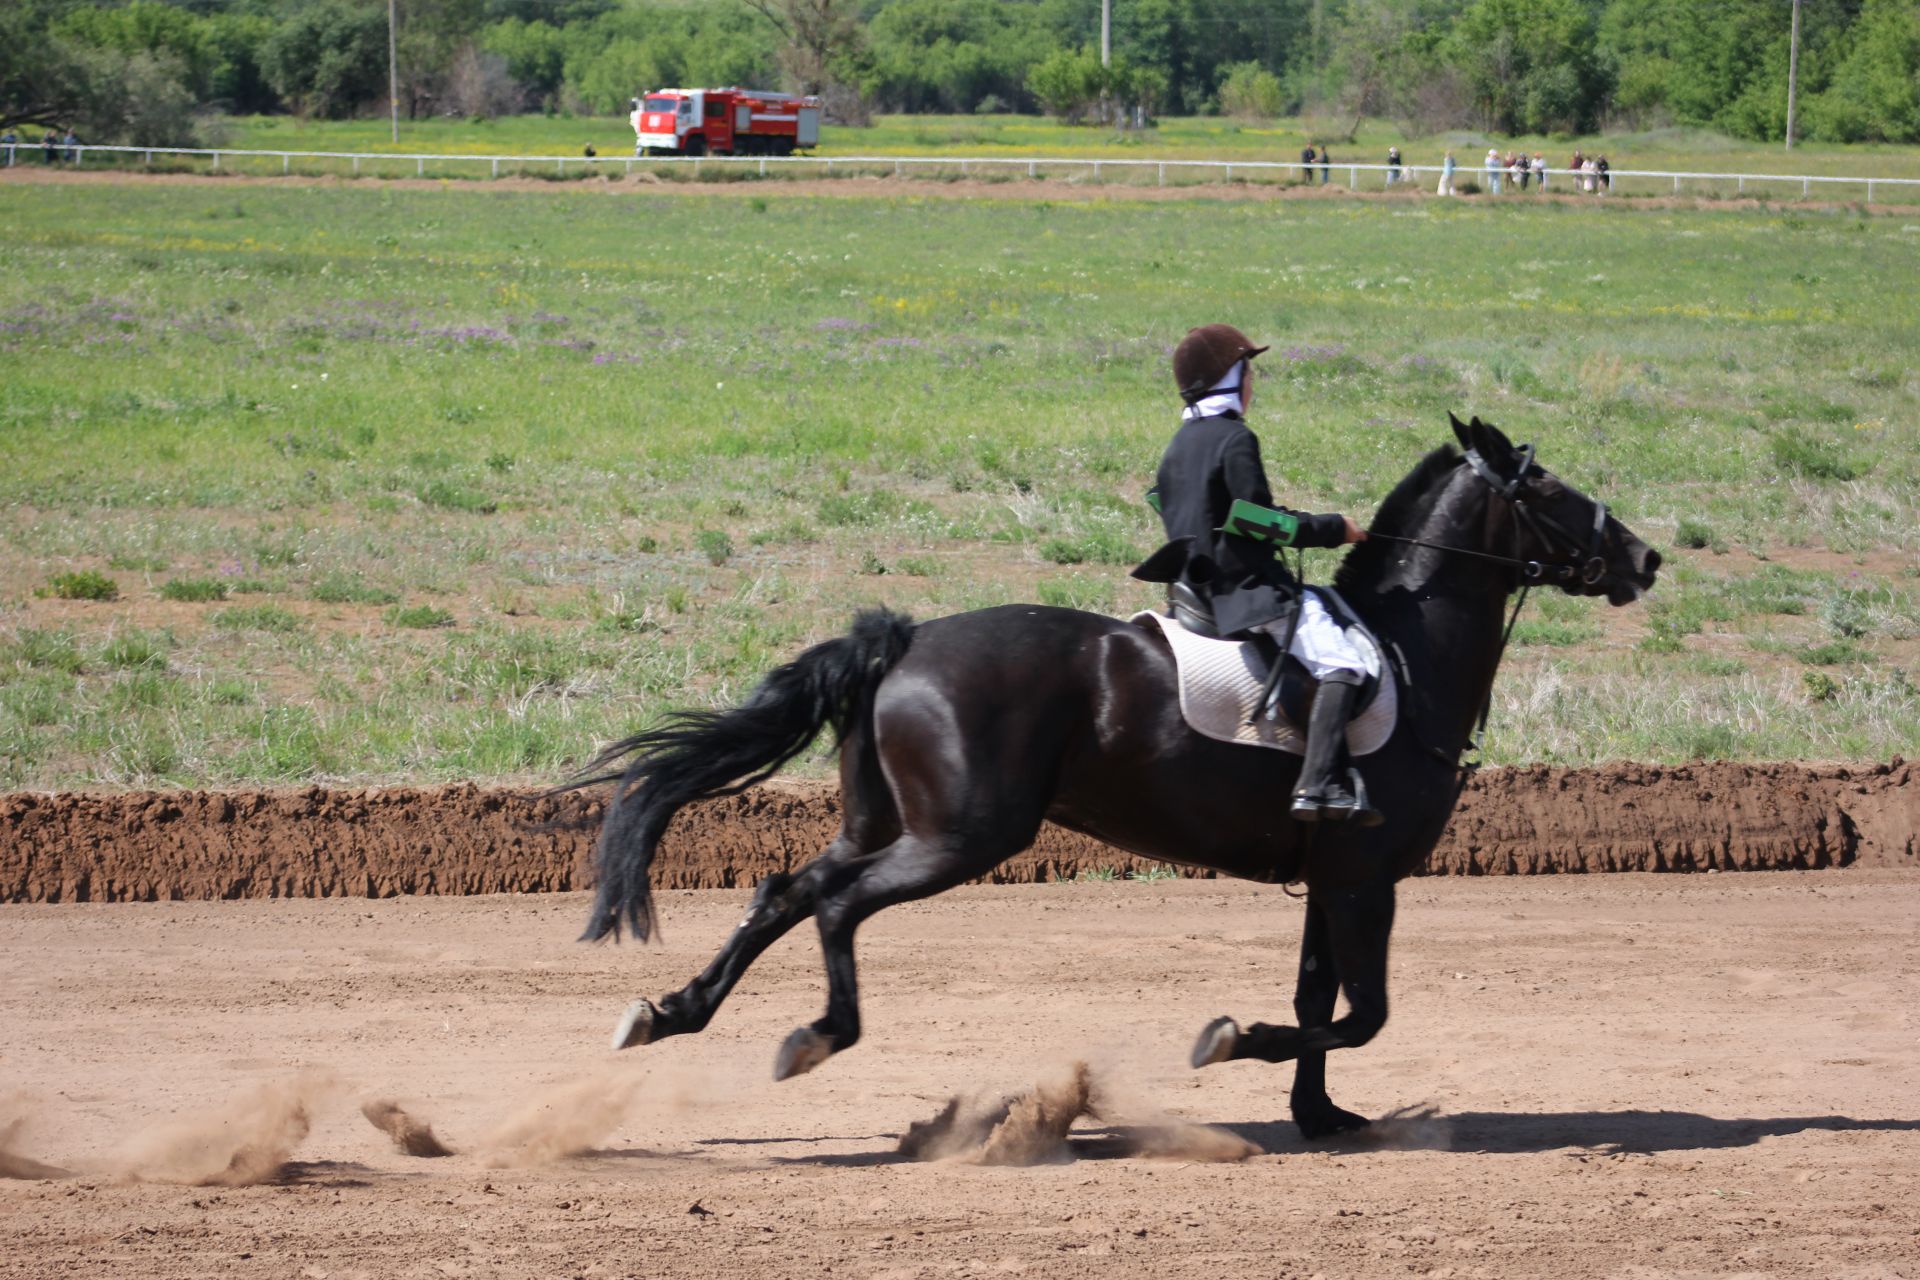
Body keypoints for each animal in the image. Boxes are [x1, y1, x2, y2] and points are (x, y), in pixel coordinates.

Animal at [576, 418, 1658, 1143]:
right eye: (1546, 486)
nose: (1644, 556)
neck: (1403, 647)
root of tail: (905, 641)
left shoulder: (1328, 877)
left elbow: (1318, 999)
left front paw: (1317, 1113)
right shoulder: (1366, 877)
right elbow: (1362, 1011)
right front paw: (1230, 1040)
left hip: (885, 823)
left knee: (784, 890)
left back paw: (670, 1010)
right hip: (961, 837)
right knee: (836, 905)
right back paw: (816, 1033)